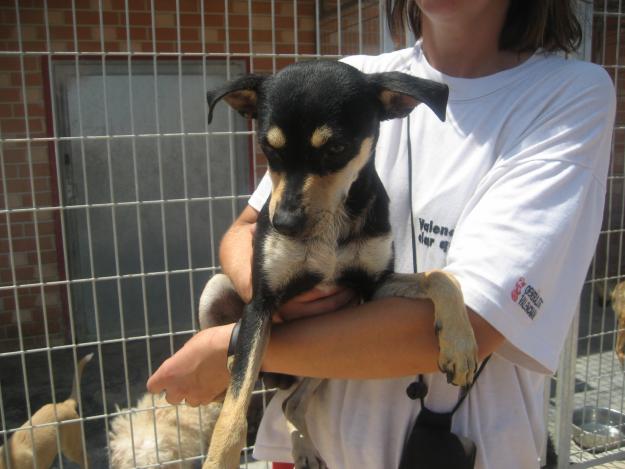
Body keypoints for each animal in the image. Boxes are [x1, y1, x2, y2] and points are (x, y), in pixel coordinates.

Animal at [202, 60, 476, 466]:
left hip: (324, 360)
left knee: (291, 404)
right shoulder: (261, 303)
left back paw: (303, 446)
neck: (331, 230)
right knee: (233, 387)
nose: (283, 224)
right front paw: (219, 457)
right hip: (216, 292)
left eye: (336, 148)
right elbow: (233, 410)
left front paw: (459, 345)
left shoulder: (372, 287)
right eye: (268, 148)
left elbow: (440, 277)